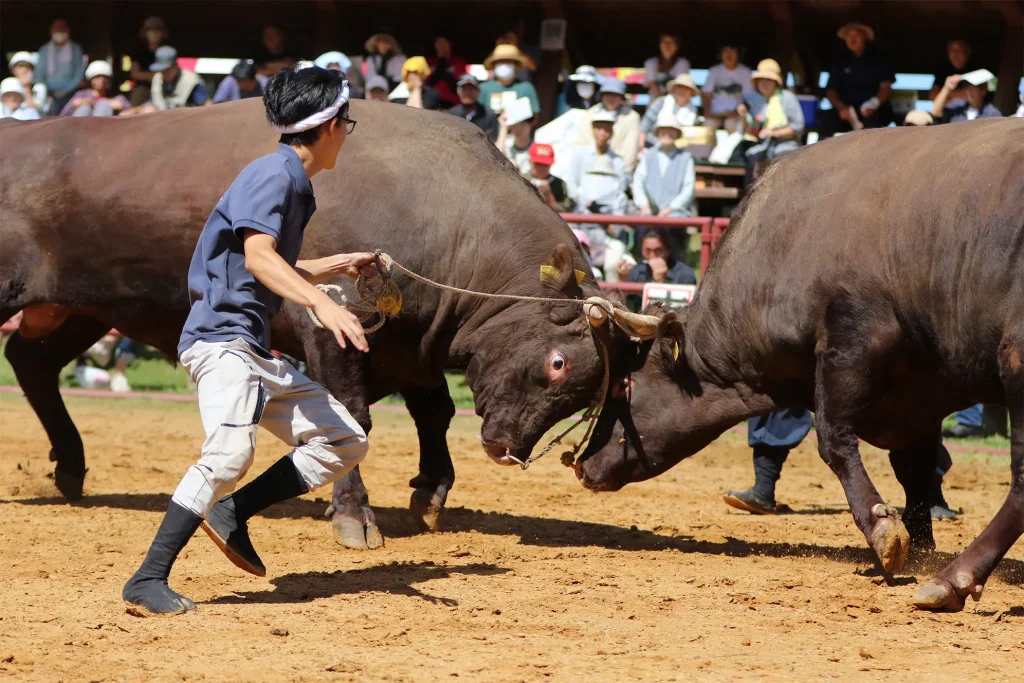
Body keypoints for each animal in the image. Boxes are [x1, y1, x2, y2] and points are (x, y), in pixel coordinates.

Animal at [577, 116, 1024, 610]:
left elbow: (834, 441)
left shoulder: (850, 344)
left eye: (624, 385)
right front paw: (921, 541)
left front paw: (884, 531)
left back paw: (953, 580)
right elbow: (914, 467)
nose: (581, 465)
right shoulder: (918, 395)